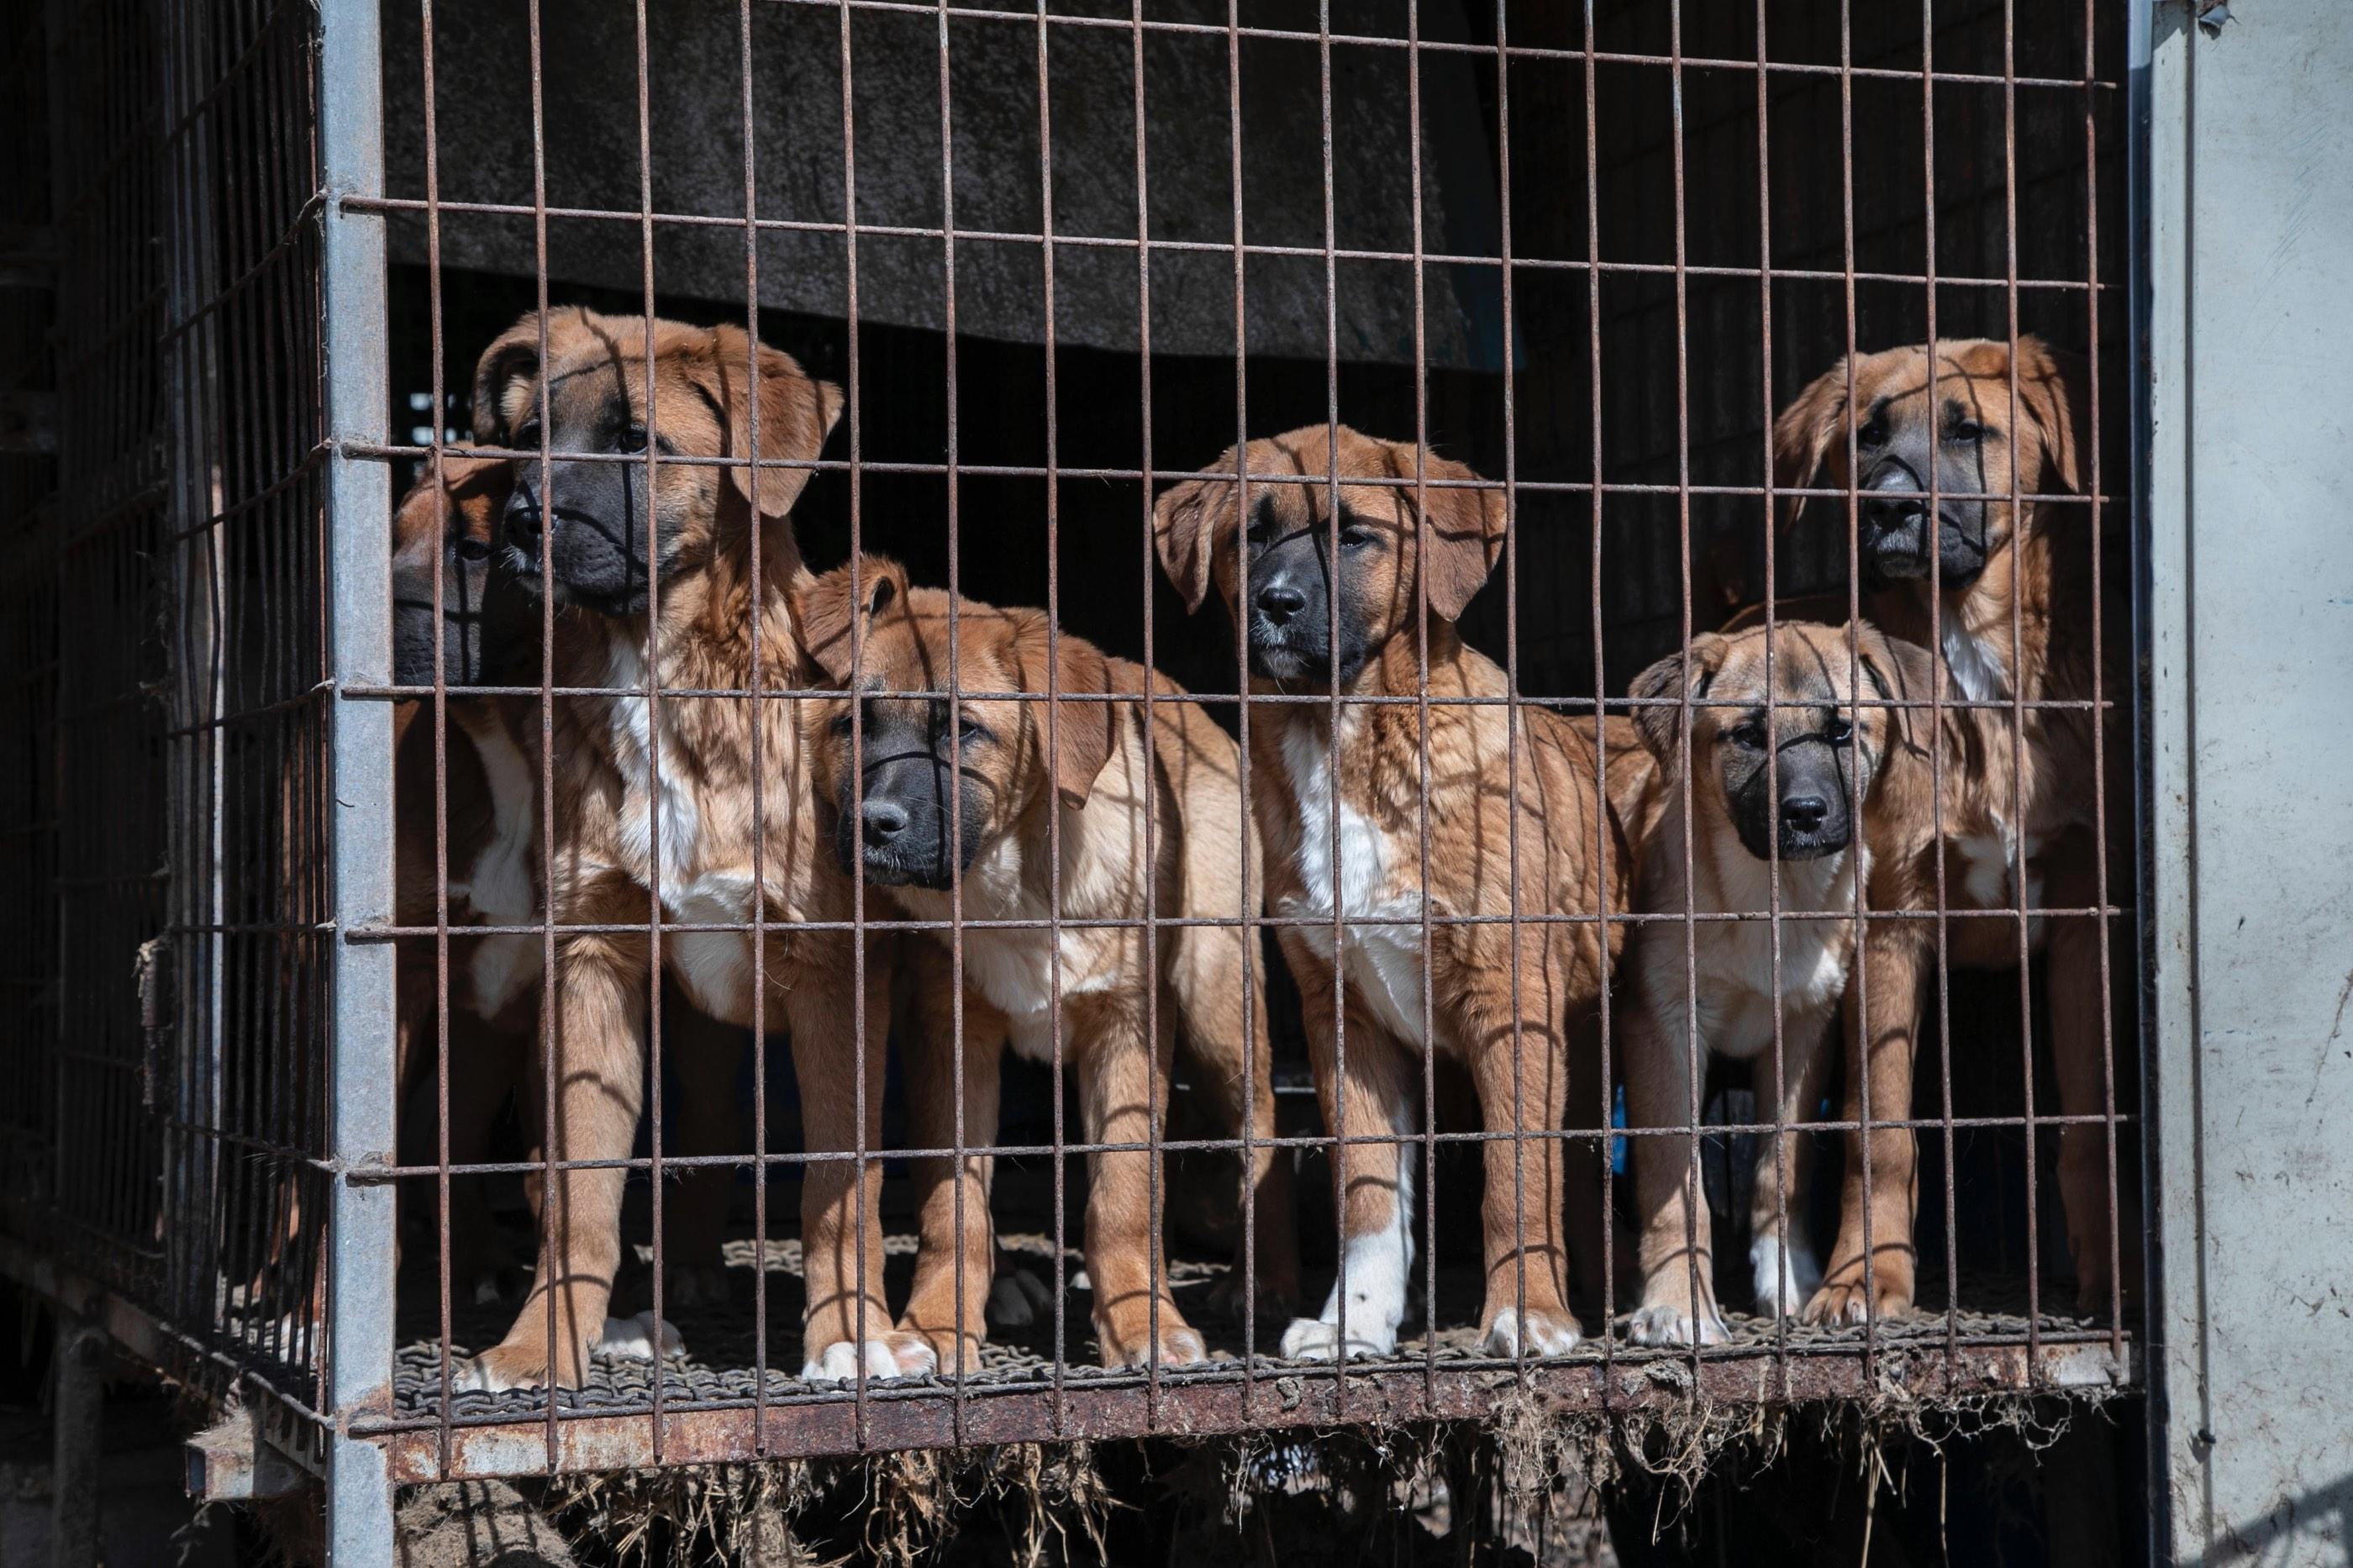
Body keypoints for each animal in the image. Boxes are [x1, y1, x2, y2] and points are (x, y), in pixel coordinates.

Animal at [454, 310, 913, 1384]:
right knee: (700, 1128)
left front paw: (851, 1335)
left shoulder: (835, 975)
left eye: (635, 442)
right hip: (696, 1020)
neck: (665, 673)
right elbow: (578, 1190)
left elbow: (838, 1187)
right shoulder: (592, 958)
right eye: (530, 438)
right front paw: (545, 1343)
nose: (523, 521)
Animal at [800, 555, 1298, 1365]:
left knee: (1264, 1130)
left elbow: (1124, 1193)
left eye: (963, 731)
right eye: (854, 725)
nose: (874, 826)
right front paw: (938, 1323)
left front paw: (1141, 1322)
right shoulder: (949, 1030)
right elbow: (953, 1202)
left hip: (1218, 1001)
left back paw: (1267, 1283)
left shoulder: (1130, 1028)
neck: (1015, 876)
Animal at [1157, 428, 1656, 1355]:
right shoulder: (1344, 1017)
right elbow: (1366, 1197)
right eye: (1250, 535)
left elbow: (1514, 1178)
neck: (1343, 738)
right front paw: (1353, 1324)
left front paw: (1527, 1314)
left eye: (1355, 536)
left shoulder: (1509, 1004)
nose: (1276, 605)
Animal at [1619, 617, 1986, 1337]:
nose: (1806, 813)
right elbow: (1675, 1182)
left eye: (1842, 731)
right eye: (1747, 735)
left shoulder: (1802, 1027)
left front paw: (1789, 1277)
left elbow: (1781, 1168)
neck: (1770, 898)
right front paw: (1678, 1302)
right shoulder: (1663, 1024)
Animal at [1769, 339, 2136, 1308]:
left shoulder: (2082, 924)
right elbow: (1880, 1131)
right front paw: (1866, 1276)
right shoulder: (1890, 924)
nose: (1891, 507)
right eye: (1865, 437)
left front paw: (2109, 1280)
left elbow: (2086, 1122)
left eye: (1968, 431)